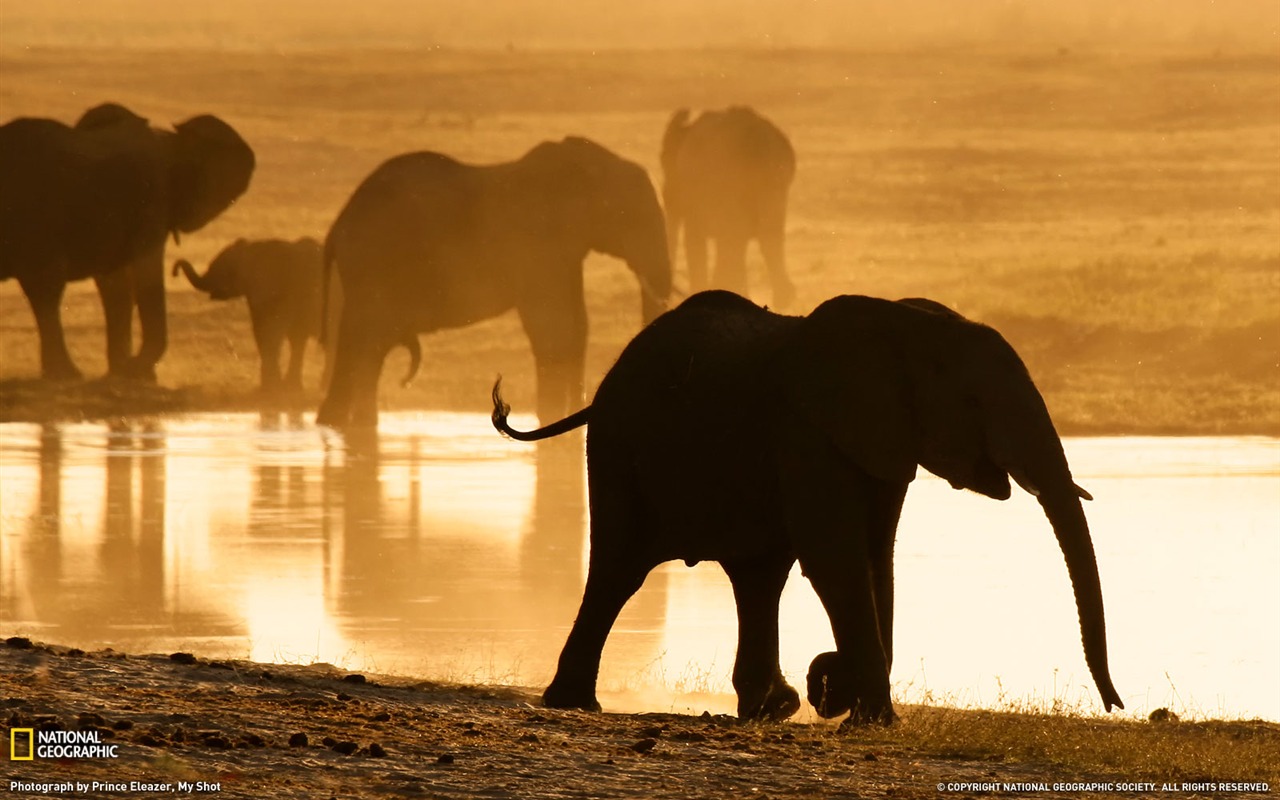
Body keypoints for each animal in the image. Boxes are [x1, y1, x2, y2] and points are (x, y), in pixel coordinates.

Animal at [0, 102, 257, 381]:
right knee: (47, 288)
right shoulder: (152, 199)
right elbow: (142, 277)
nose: (177, 268)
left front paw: (124, 372)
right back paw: (67, 374)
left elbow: (117, 284)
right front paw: (137, 372)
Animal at [172, 236, 327, 394]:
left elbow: (278, 335)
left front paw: (281, 389)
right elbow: (267, 334)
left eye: (223, 268)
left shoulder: (286, 294)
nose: (174, 272)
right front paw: (272, 388)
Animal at [314, 135, 670, 430]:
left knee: (371, 348)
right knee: (362, 340)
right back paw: (336, 426)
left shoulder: (564, 253)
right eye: (634, 217)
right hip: (372, 265)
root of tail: (338, 226)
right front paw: (552, 417)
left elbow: (577, 328)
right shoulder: (534, 242)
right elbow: (553, 329)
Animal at [494, 288, 1126, 721]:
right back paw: (575, 705)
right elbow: (837, 560)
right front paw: (869, 715)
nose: (1117, 704)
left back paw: (770, 708)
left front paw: (849, 703)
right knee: (620, 569)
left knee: (758, 577)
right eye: (972, 401)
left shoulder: (882, 441)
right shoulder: (807, 431)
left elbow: (874, 559)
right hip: (617, 447)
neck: (905, 325)